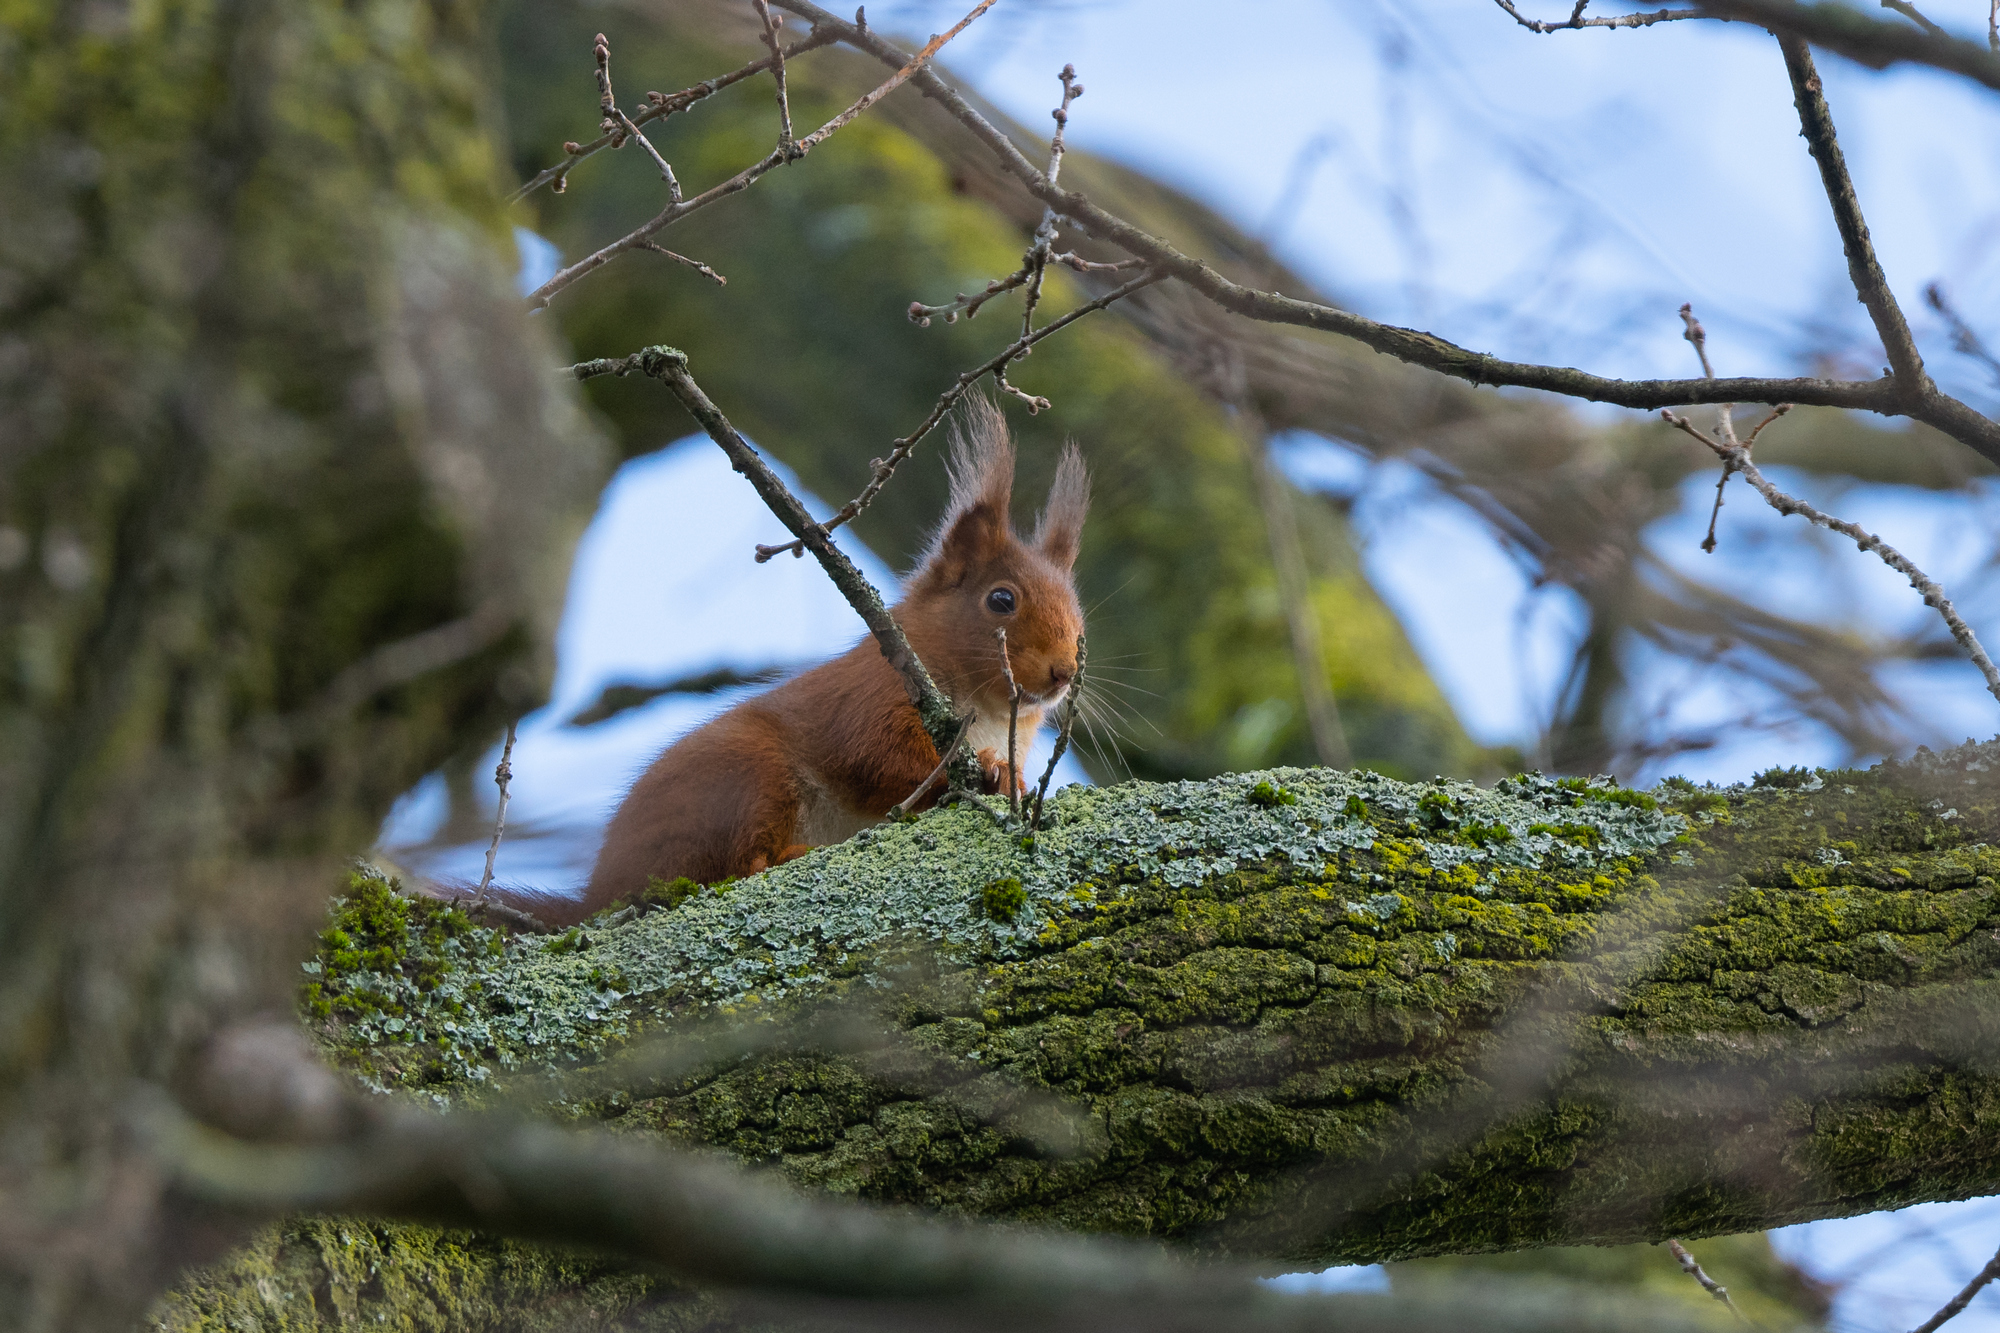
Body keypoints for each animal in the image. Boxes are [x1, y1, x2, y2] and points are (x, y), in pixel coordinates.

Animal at [540, 400, 1088, 928]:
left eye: (1079, 618)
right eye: (1001, 600)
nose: (1064, 672)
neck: (988, 712)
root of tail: (598, 894)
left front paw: (1010, 776)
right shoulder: (870, 694)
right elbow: (878, 756)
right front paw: (991, 771)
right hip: (747, 777)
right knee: (735, 864)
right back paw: (787, 855)